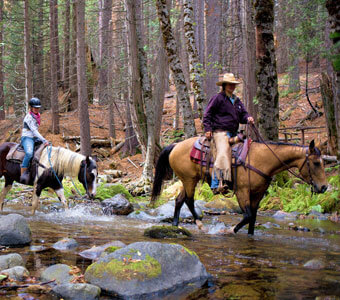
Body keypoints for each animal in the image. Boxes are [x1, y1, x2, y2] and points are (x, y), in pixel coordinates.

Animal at [151, 135, 326, 234]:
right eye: (316, 163)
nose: (324, 187)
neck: (260, 160)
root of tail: (176, 145)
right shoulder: (242, 191)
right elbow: (247, 216)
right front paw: (228, 230)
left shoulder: (258, 194)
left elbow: (253, 217)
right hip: (190, 180)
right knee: (188, 200)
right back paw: (200, 225)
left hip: (187, 180)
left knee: (179, 199)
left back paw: (175, 225)